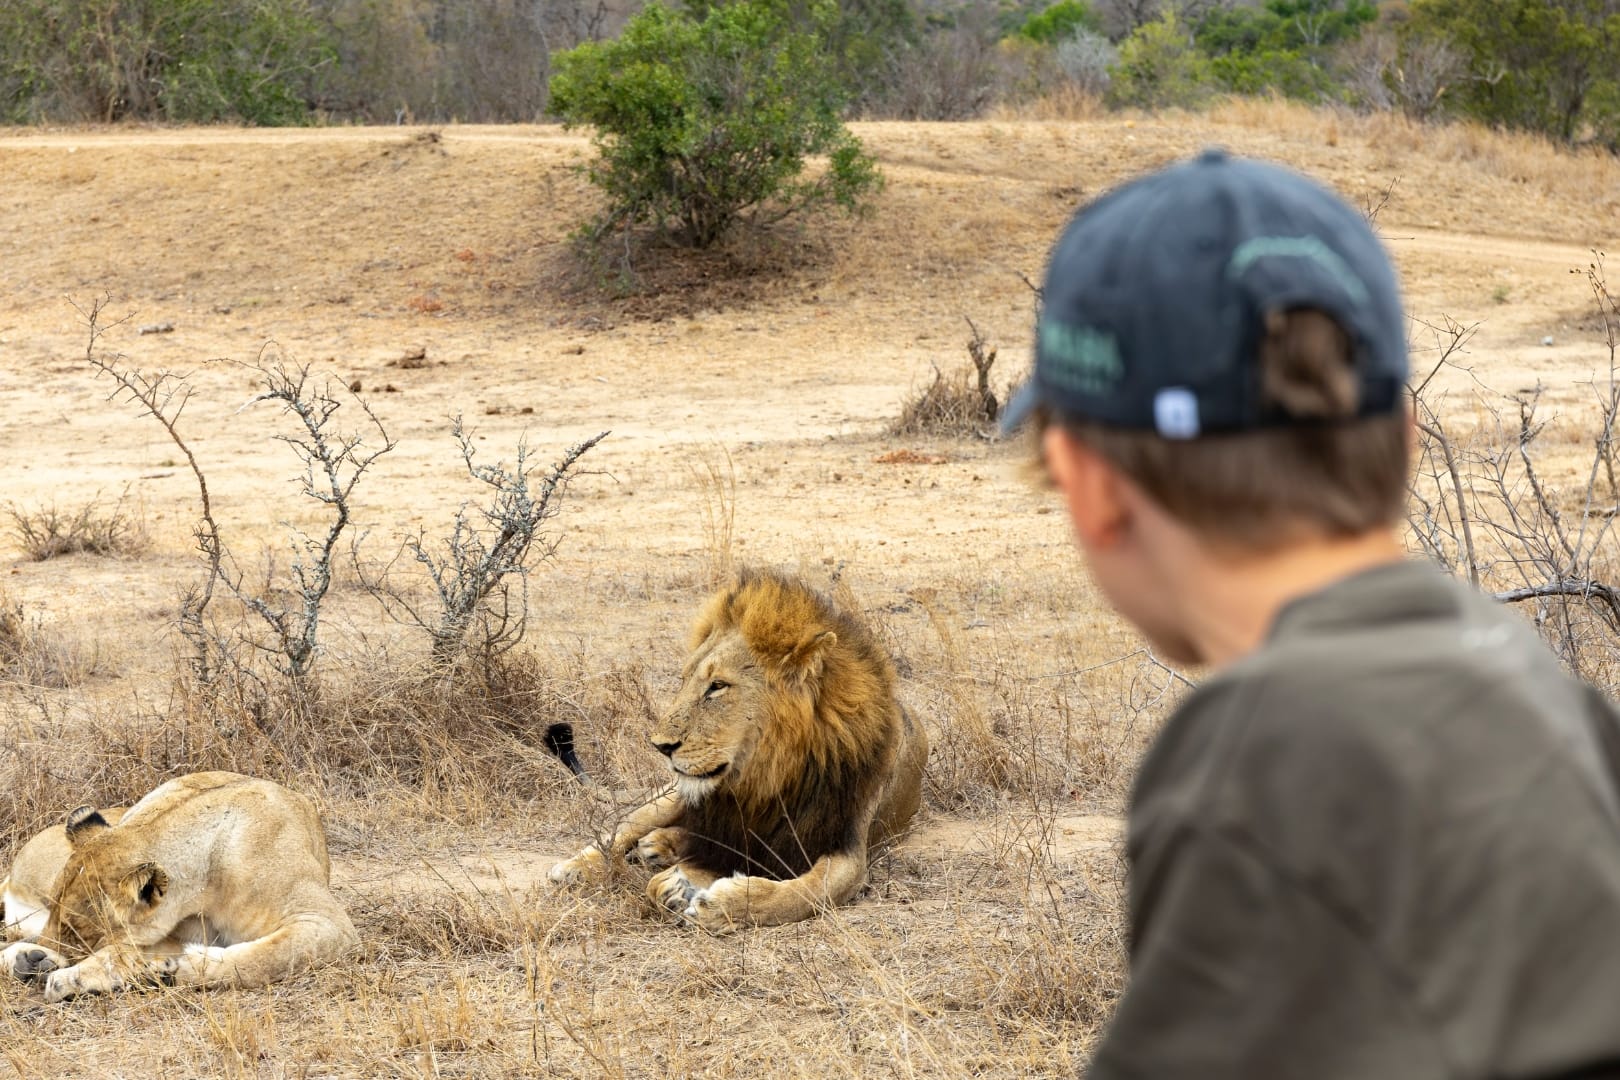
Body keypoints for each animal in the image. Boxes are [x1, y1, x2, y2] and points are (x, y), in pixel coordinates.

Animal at [1, 771, 357, 1002]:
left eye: (75, 929)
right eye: (56, 914)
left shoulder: (325, 922)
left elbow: (264, 958)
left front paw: (174, 969)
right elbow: (120, 952)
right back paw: (29, 960)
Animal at [549, 568, 929, 933]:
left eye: (717, 686)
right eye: (685, 680)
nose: (660, 746)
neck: (770, 775)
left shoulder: (847, 850)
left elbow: (803, 893)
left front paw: (716, 904)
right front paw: (681, 887)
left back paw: (660, 848)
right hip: (675, 794)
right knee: (626, 826)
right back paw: (577, 867)